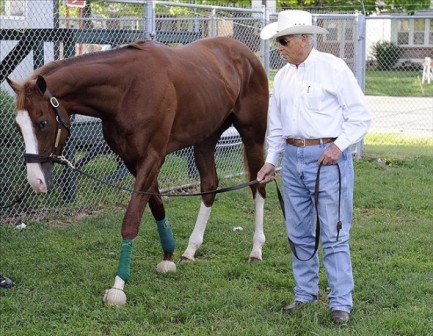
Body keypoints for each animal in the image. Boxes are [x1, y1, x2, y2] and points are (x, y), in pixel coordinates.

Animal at [6, 36, 268, 304]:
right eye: (18, 126)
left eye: (43, 123)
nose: (35, 180)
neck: (128, 89)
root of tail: (246, 54)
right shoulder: (132, 160)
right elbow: (156, 205)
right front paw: (168, 256)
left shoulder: (152, 157)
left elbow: (132, 219)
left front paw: (119, 284)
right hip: (205, 139)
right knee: (209, 186)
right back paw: (191, 249)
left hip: (252, 135)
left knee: (259, 185)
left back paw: (256, 249)